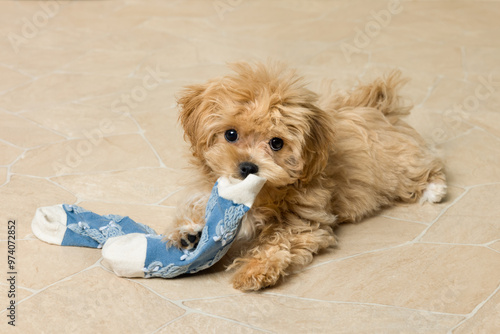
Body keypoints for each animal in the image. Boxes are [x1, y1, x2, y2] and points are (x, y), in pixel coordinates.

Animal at [166, 61, 448, 290]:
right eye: (231, 134)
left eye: (276, 143)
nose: (247, 167)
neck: (264, 194)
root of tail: (376, 109)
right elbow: (198, 206)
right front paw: (189, 232)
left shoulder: (304, 219)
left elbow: (279, 240)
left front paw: (255, 270)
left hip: (399, 167)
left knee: (424, 168)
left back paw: (434, 189)